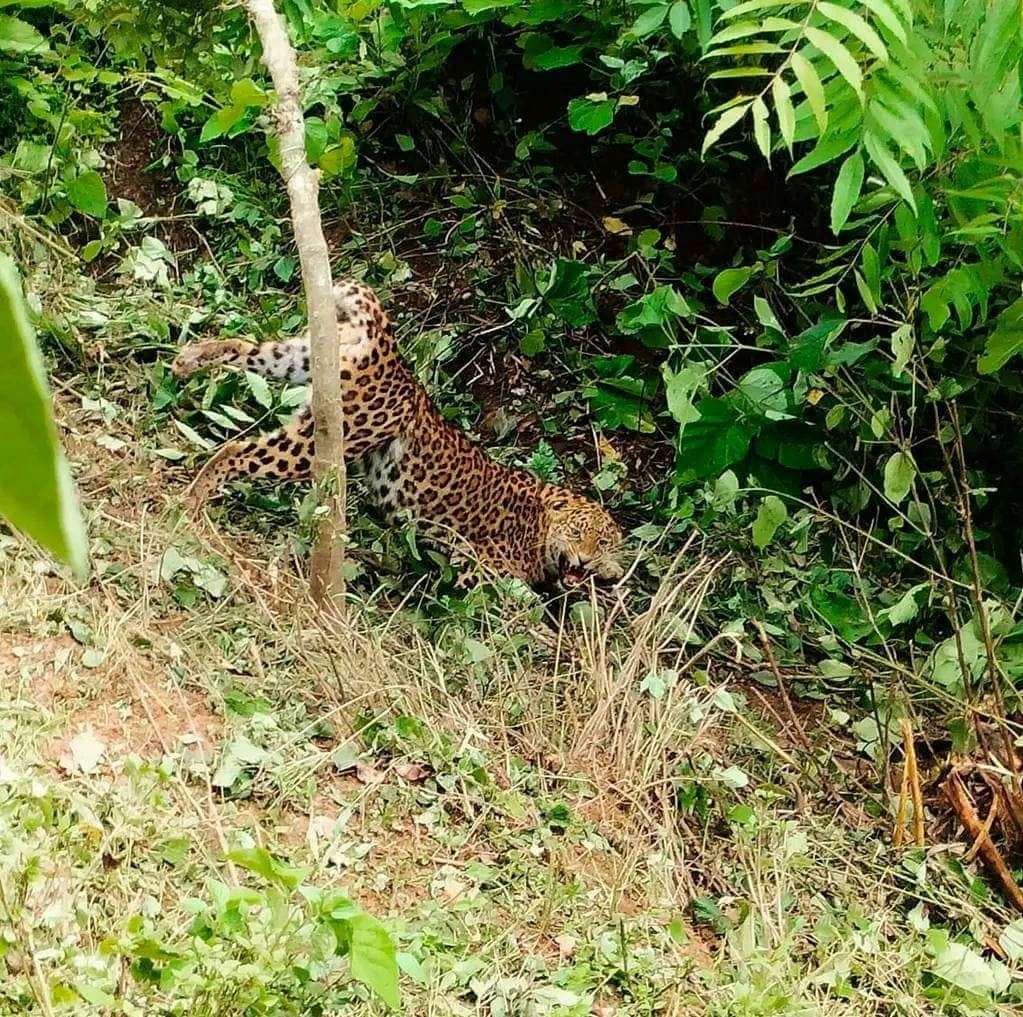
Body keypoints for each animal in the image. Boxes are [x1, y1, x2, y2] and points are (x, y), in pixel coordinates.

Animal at [169, 276, 621, 577]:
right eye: (579, 533)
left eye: (603, 546)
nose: (585, 560)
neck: (540, 517)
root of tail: (391, 350)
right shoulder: (479, 565)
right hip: (326, 437)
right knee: (236, 450)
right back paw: (192, 502)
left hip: (303, 355)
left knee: (246, 346)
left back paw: (188, 359)